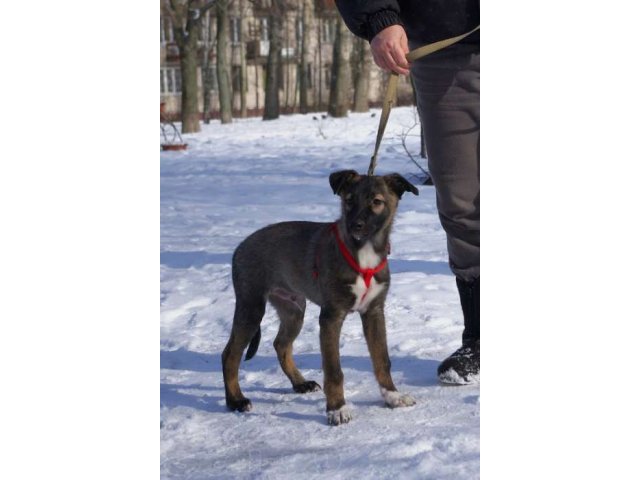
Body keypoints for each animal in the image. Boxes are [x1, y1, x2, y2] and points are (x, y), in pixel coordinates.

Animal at [221, 169, 420, 424]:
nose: (355, 225)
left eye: (376, 202)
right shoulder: (331, 317)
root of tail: (240, 247)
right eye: (349, 200)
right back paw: (235, 400)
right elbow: (334, 370)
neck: (363, 253)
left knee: (281, 344)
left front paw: (392, 395)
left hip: (293, 309)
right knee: (230, 354)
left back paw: (300, 383)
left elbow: (382, 359)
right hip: (251, 306)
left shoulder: (374, 312)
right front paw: (337, 409)